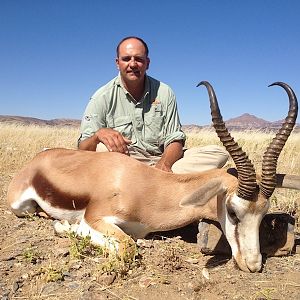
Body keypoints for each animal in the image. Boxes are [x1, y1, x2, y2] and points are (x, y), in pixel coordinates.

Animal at [6, 81, 298, 272]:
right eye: (234, 212)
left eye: (263, 214)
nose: (253, 265)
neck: (149, 187)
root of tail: (37, 160)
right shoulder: (96, 217)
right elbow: (127, 246)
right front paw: (64, 226)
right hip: (20, 207)